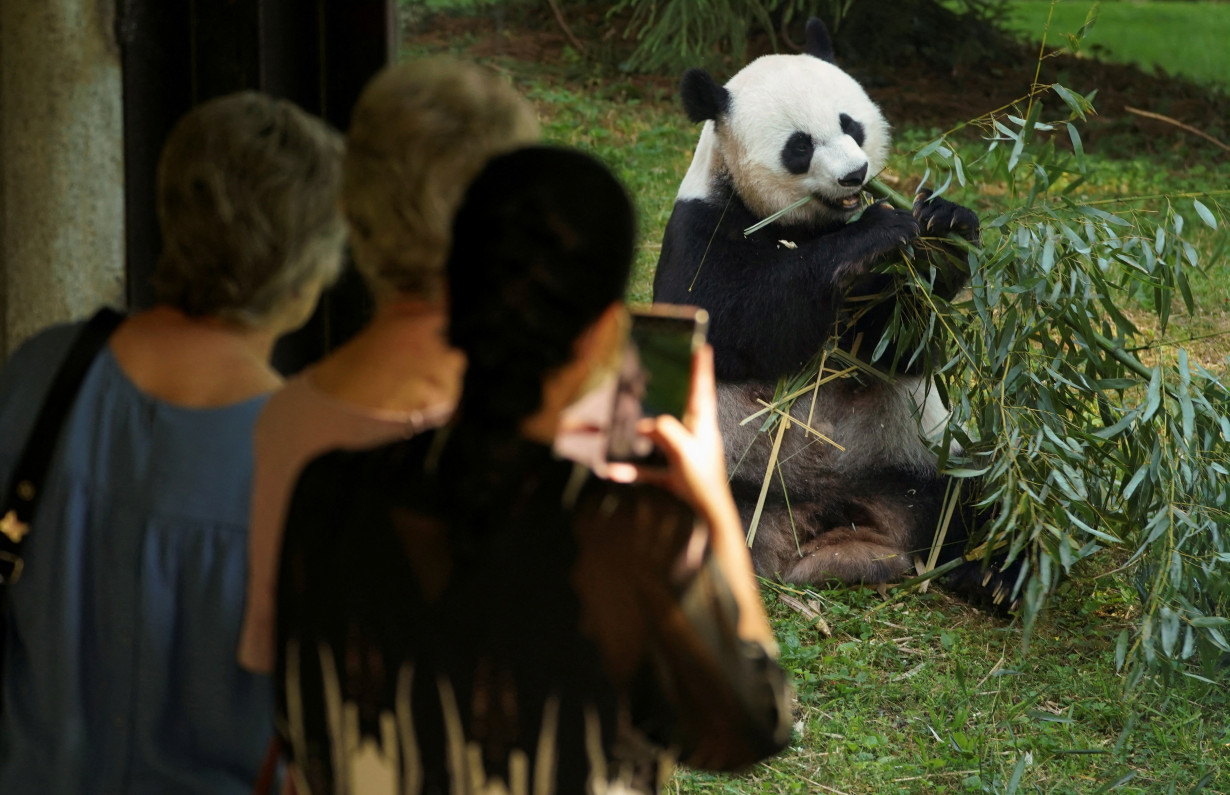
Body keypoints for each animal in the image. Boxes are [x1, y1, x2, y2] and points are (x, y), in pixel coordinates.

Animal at [654, 17, 1008, 605]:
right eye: (800, 146)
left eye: (851, 125)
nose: (855, 175)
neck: (810, 225)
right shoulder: (699, 228)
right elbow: (738, 321)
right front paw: (875, 231)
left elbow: (895, 347)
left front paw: (944, 224)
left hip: (913, 459)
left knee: (979, 495)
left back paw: (992, 574)